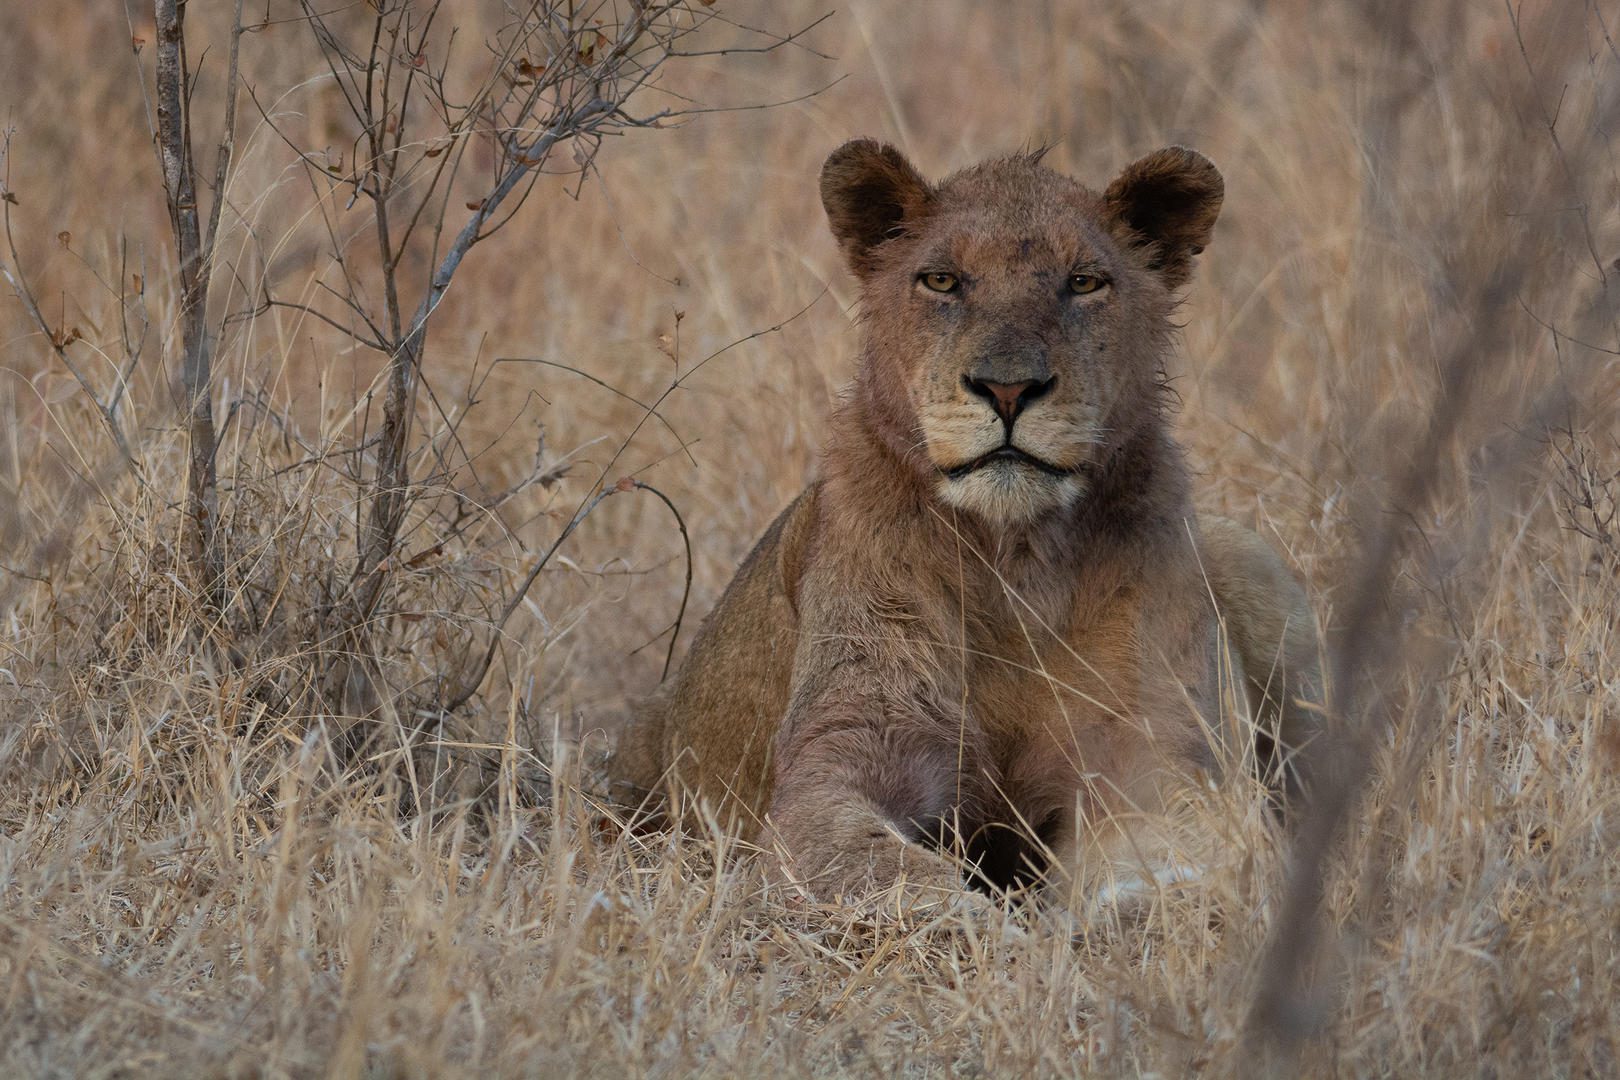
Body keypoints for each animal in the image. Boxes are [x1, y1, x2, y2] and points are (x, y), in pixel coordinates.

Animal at [610, 139, 1320, 907]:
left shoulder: (1163, 759)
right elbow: (900, 880)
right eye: (942, 280)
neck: (1017, 562)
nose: (1008, 388)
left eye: (1084, 282)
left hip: (1248, 560)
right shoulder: (840, 763)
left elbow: (1193, 864)